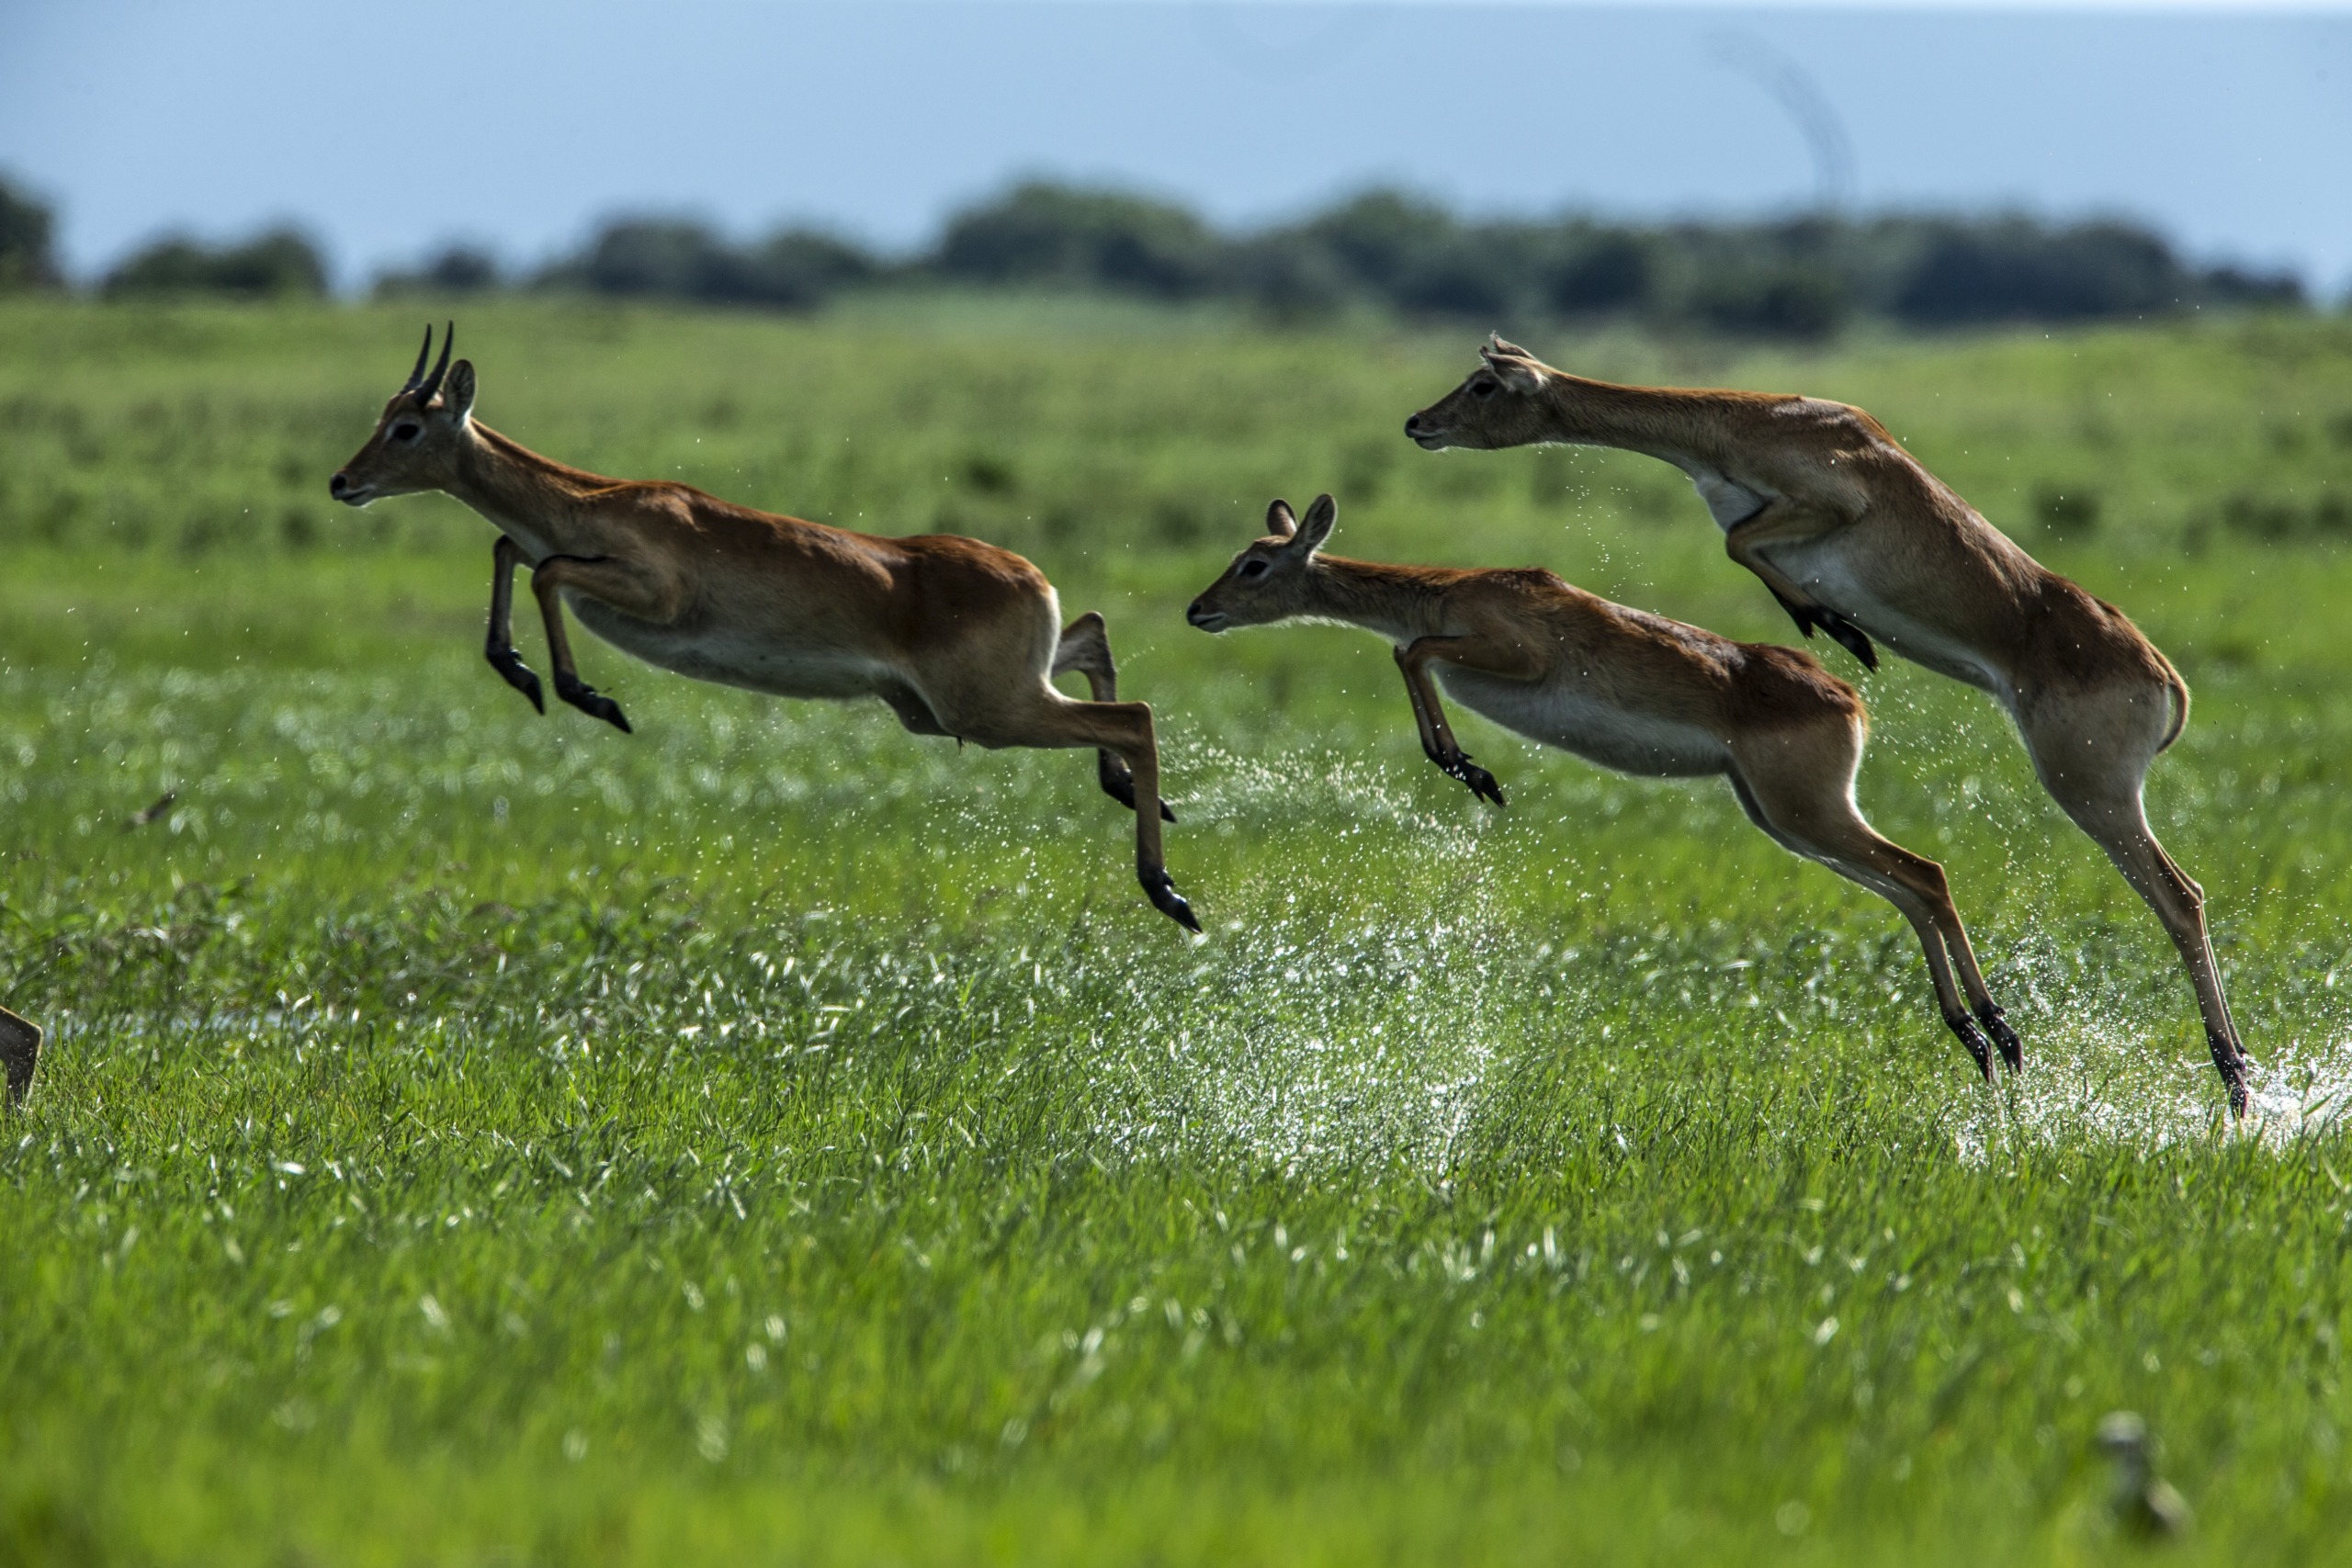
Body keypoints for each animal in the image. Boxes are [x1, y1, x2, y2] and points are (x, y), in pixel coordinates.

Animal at [331, 321, 1204, 931]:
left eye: (408, 426)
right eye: (383, 414)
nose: (343, 481)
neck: (593, 502)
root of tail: (1033, 576)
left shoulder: (654, 592)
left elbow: (541, 567)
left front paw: (587, 696)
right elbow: (511, 546)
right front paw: (518, 670)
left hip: (988, 710)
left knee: (1135, 716)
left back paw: (1168, 892)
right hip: (963, 704)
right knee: (1095, 636)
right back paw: (1140, 805)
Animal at [1185, 495, 2031, 1086]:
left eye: (1255, 565)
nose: (1199, 609)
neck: (1447, 589)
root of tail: (1849, 698)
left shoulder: (1511, 653)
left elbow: (1412, 651)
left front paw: (1468, 768)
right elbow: (1409, 653)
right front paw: (1464, 766)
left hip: (1807, 811)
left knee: (1927, 873)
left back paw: (2000, 1031)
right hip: (1782, 817)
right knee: (1908, 889)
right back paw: (1979, 1039)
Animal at [1401, 335, 2248, 1114]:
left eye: (1484, 385)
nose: (1417, 422)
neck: (1756, 423)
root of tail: (2165, 677)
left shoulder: (1826, 505)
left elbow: (1737, 542)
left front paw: (1837, 626)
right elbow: (1741, 545)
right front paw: (1833, 624)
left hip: (2088, 790)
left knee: (2179, 896)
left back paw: (2227, 1074)